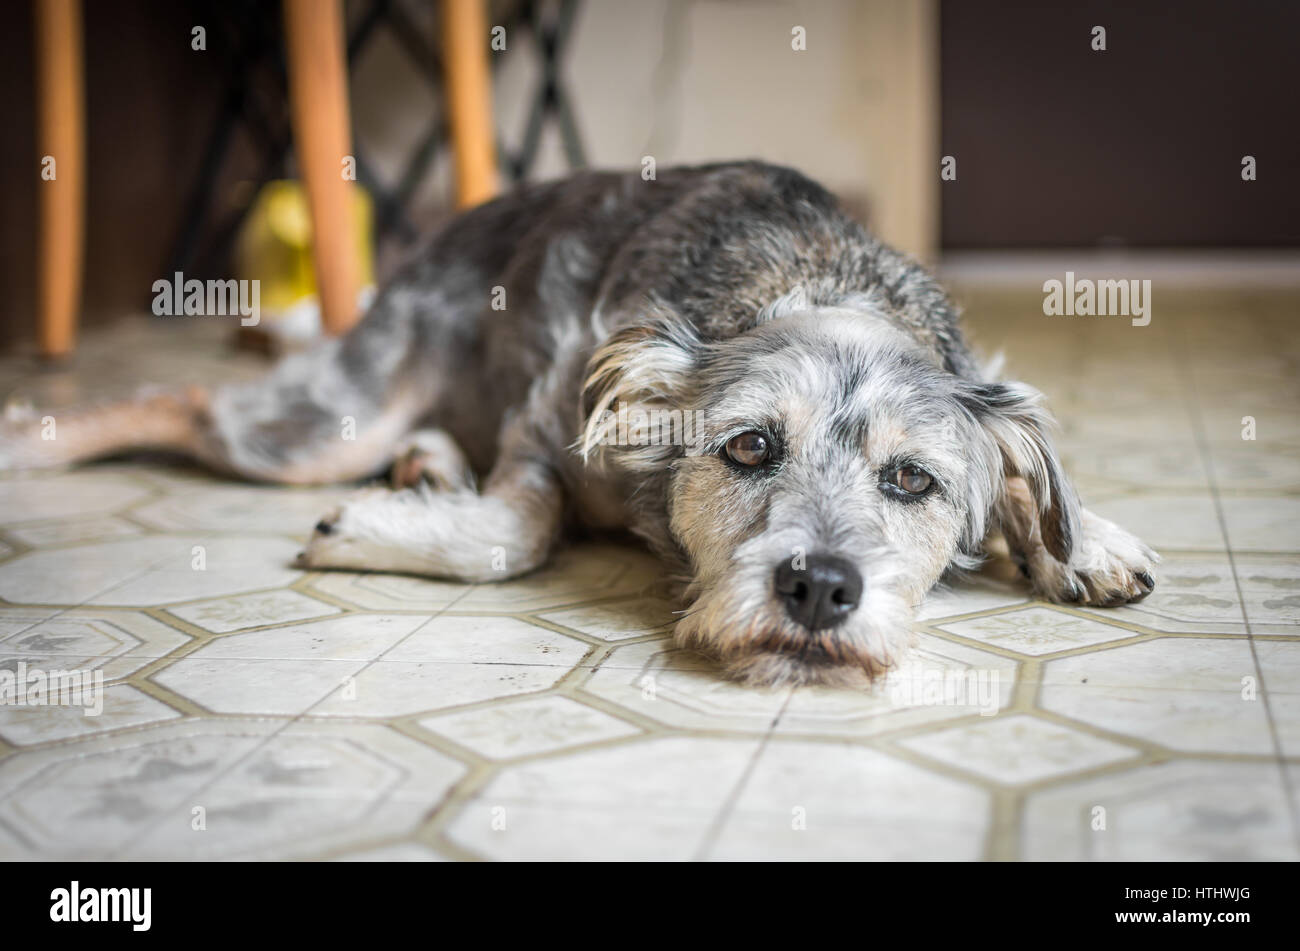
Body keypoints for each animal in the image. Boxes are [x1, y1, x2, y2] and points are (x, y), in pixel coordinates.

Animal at [0, 163, 1159, 685]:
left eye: (912, 480)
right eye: (749, 446)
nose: (820, 588)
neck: (815, 278)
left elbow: (1038, 485)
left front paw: (1082, 540)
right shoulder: (548, 417)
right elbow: (517, 531)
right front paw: (376, 531)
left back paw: (427, 466)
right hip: (331, 421)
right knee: (188, 399)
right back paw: (30, 437)